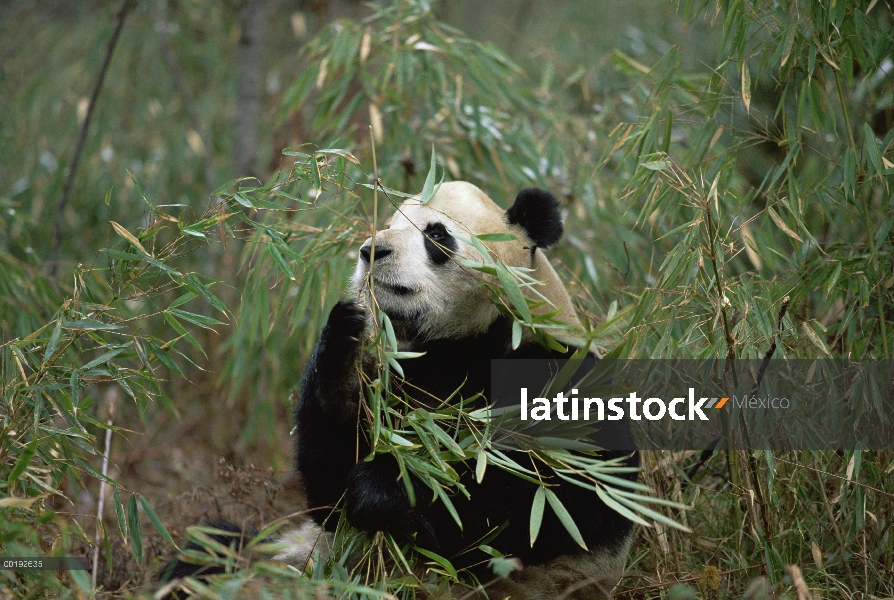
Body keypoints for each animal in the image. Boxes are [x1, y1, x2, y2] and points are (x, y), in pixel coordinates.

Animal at [292, 183, 636, 600]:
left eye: (437, 235)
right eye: (388, 225)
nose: (372, 251)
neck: (460, 341)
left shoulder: (557, 374)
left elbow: (546, 502)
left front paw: (386, 487)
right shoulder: (397, 374)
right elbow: (329, 492)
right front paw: (344, 333)